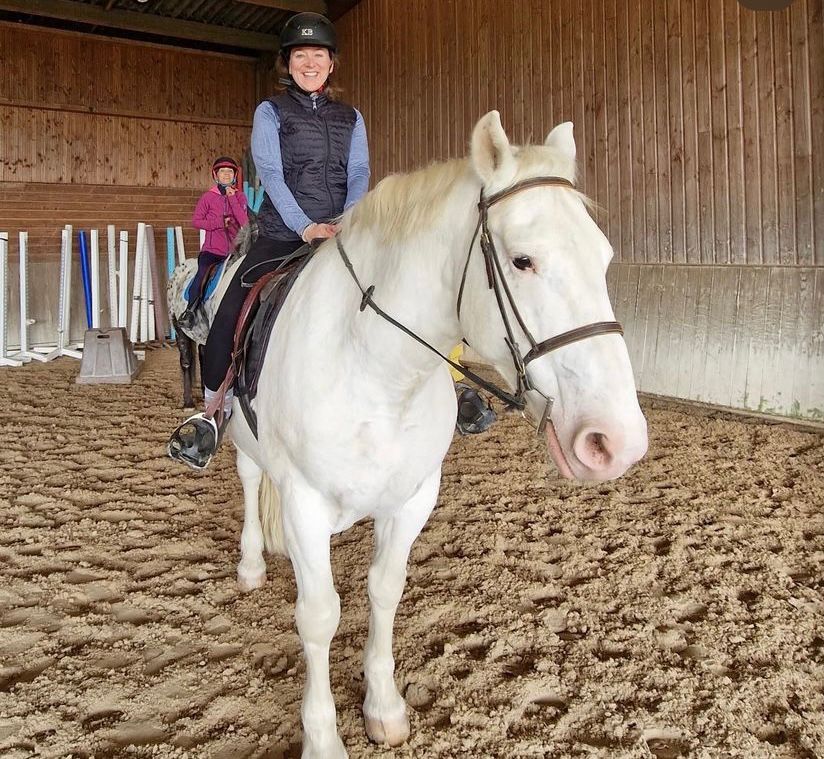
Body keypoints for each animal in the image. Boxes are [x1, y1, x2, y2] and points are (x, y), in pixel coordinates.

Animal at [227, 110, 652, 756]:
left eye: (603, 258)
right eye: (523, 261)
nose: (617, 441)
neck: (376, 370)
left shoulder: (413, 498)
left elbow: (385, 589)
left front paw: (383, 707)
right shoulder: (304, 503)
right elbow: (320, 615)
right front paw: (323, 737)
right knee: (251, 479)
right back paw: (251, 563)